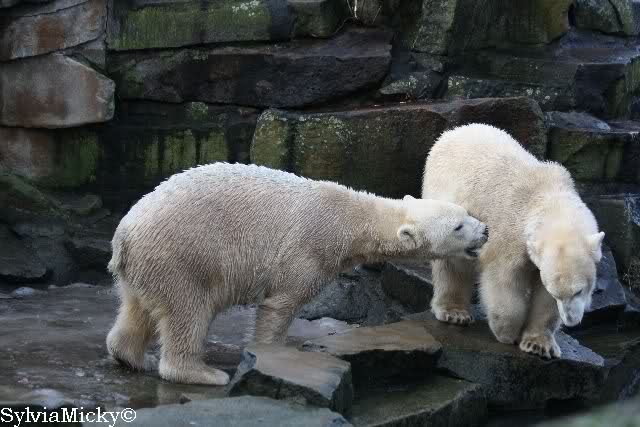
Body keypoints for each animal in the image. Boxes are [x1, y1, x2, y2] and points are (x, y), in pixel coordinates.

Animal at [106, 162, 489, 385]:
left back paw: (131, 356)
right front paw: (272, 356)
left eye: (465, 213)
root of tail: (124, 234)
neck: (350, 219)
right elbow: (281, 304)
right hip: (181, 257)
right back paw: (203, 373)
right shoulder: (307, 249)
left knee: (137, 308)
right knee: (188, 312)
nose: (485, 231)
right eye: (458, 226)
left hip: (147, 265)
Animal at [422, 124, 604, 359]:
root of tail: (452, 132)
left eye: (579, 291)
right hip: (449, 203)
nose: (571, 321)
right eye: (561, 293)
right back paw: (454, 312)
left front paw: (538, 345)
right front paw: (508, 333)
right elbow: (503, 279)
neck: (549, 196)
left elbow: (543, 298)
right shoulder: (509, 234)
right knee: (453, 262)